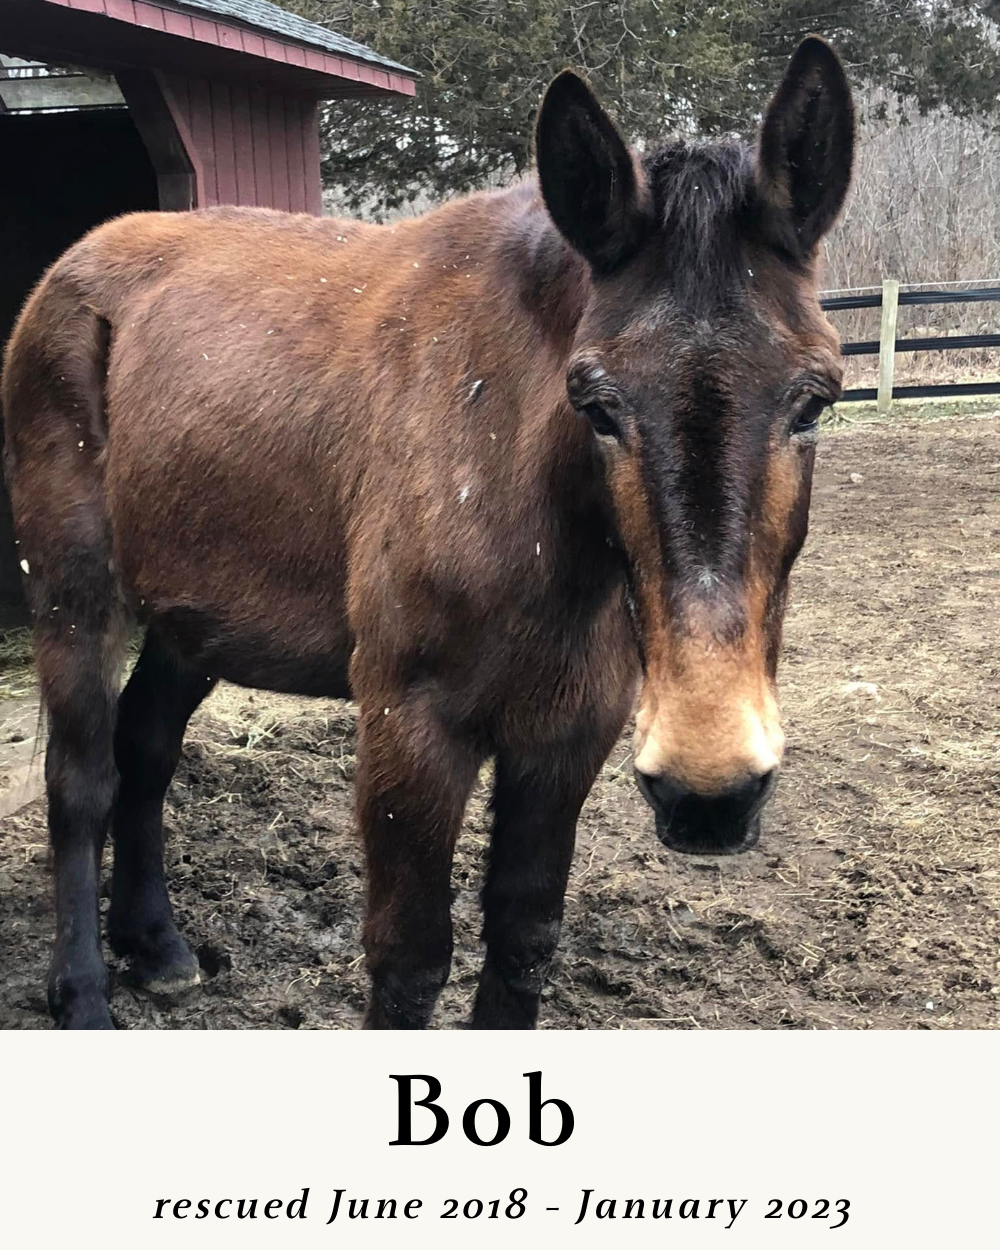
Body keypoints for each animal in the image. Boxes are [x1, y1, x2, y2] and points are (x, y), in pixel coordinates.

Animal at [1, 36, 853, 1030]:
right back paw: (84, 993)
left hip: (193, 614)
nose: (709, 789)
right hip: (74, 594)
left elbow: (522, 942)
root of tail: (70, 271)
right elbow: (408, 963)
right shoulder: (411, 733)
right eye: (598, 407)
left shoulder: (566, 738)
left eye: (814, 401)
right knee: (82, 780)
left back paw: (159, 947)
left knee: (145, 749)